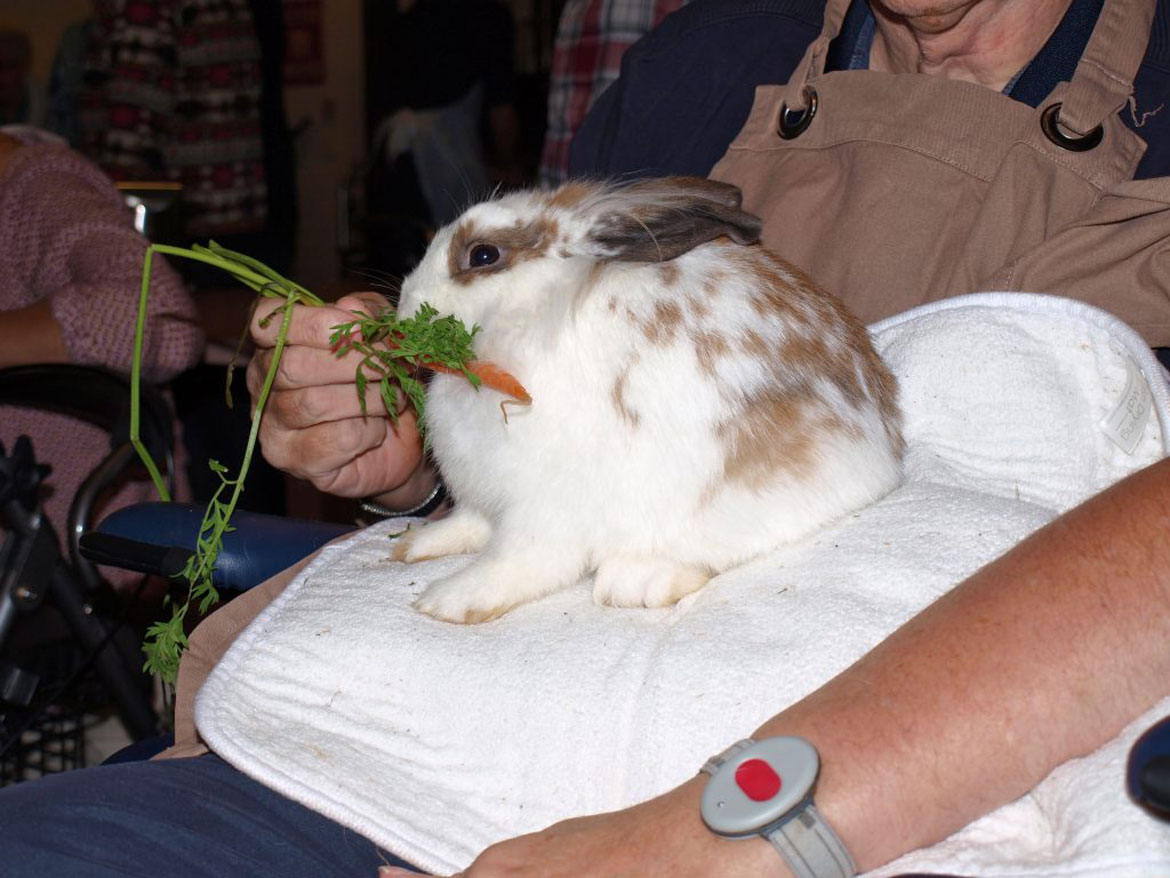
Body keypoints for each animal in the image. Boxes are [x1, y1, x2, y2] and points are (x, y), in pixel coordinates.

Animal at [393, 173, 903, 627]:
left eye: (483, 254)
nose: (403, 309)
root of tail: (886, 452)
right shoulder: (482, 499)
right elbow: (470, 524)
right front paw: (418, 545)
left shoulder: (544, 510)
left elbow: (518, 561)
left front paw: (447, 601)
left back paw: (637, 582)